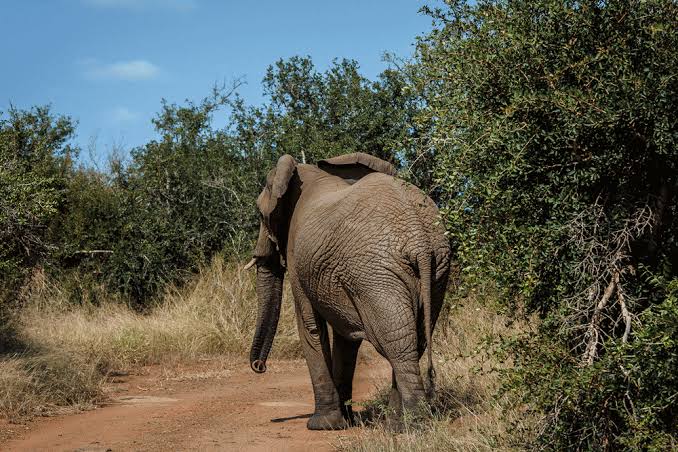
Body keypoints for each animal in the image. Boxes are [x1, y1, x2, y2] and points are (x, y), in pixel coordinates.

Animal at [245, 152, 451, 430]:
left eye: (260, 214)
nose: (259, 366)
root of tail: (418, 238)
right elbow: (346, 335)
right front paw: (346, 420)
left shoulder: (297, 253)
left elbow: (309, 325)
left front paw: (322, 425)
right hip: (437, 268)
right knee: (414, 339)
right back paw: (397, 423)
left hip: (375, 272)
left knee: (396, 343)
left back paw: (410, 425)